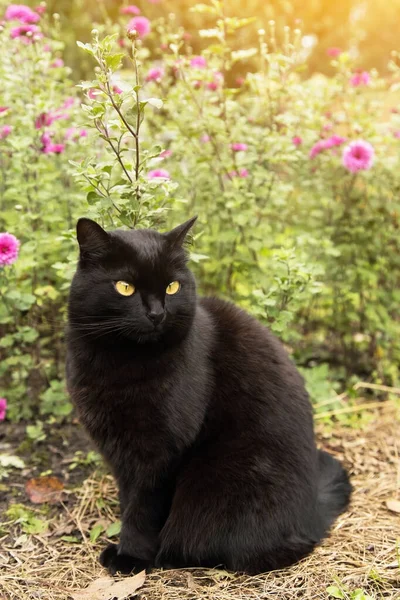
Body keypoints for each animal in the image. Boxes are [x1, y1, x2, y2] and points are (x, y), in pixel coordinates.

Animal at [67, 217, 352, 576]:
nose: (157, 313)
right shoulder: (119, 452)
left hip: (218, 486)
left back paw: (169, 554)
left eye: (172, 287)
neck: (121, 363)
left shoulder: (161, 453)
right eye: (125, 287)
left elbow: (142, 508)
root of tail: (312, 513)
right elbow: (127, 498)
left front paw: (131, 556)